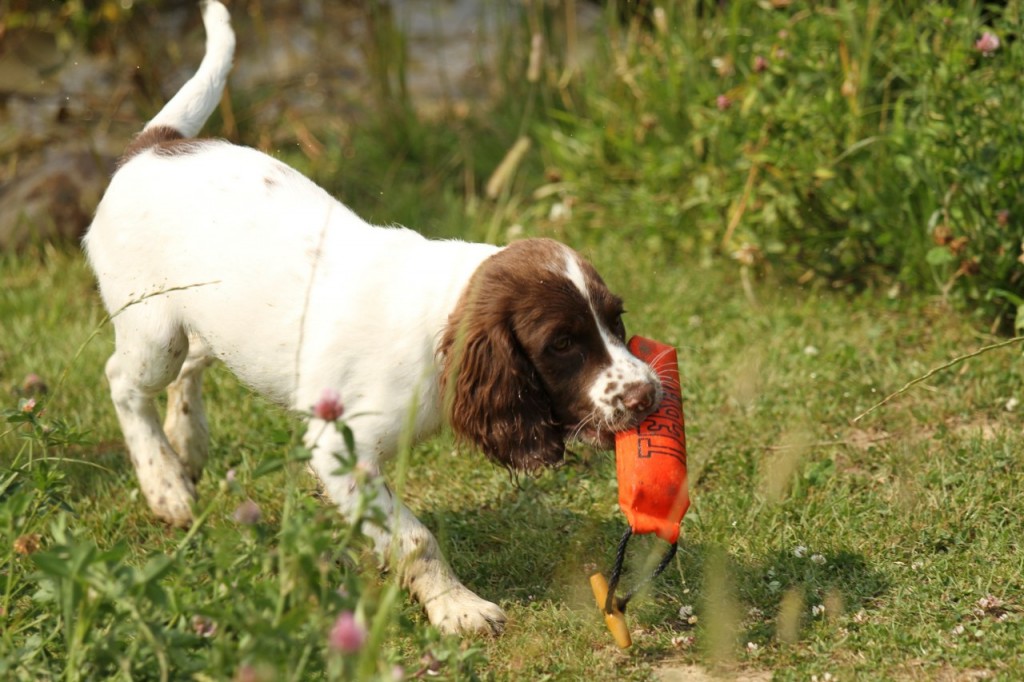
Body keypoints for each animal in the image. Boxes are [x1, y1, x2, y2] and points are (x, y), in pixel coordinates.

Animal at [88, 2, 663, 634]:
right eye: (561, 344)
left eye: (616, 319)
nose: (648, 395)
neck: (440, 324)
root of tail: (153, 147)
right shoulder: (341, 451)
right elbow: (415, 539)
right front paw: (458, 608)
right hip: (154, 330)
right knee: (124, 381)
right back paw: (164, 482)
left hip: (214, 321)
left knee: (192, 363)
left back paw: (186, 443)